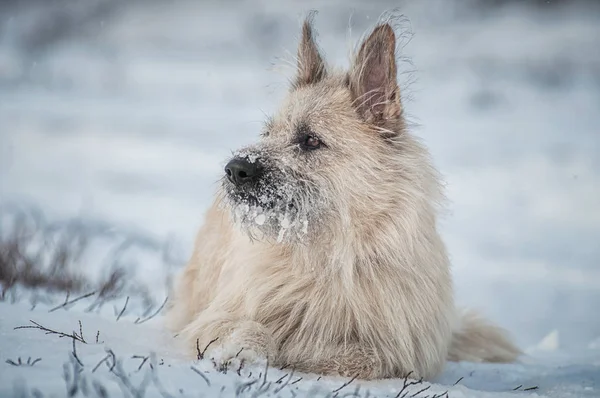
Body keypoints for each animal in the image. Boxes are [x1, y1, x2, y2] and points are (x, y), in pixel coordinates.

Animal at [165, 14, 520, 380]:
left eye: (310, 140)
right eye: (267, 132)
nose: (234, 169)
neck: (330, 252)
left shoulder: (398, 351)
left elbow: (352, 354)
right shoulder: (214, 316)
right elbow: (247, 326)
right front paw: (242, 350)